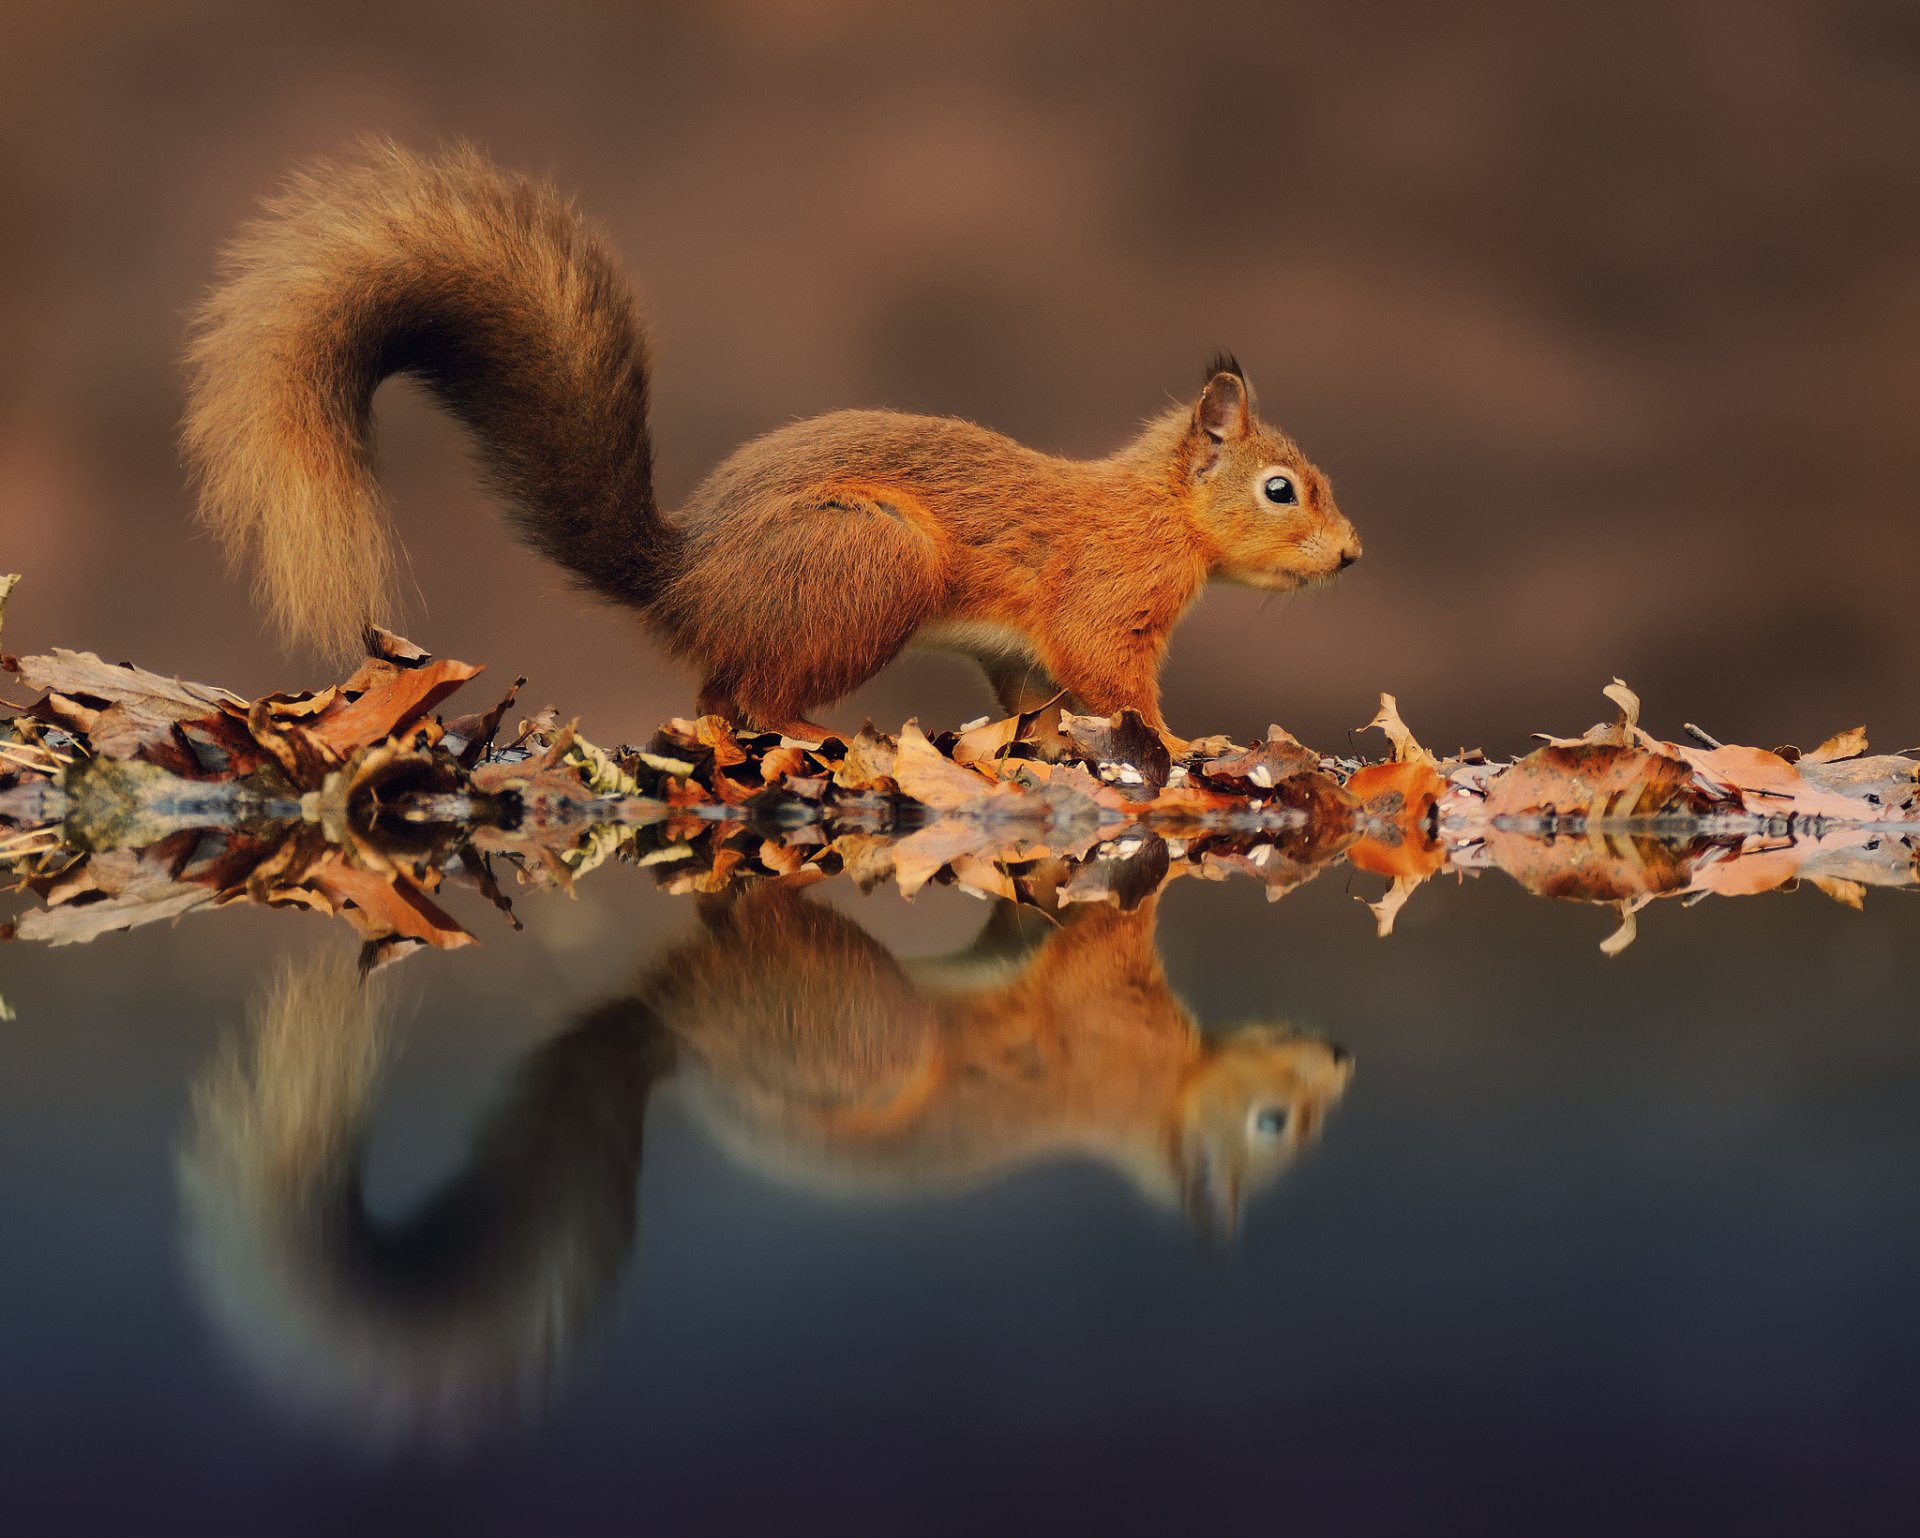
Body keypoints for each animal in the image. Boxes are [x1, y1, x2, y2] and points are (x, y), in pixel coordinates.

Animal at [184, 142, 1362, 740]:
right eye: (1281, 489)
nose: (1352, 556)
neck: (1160, 510)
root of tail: (688, 580)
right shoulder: (1106, 600)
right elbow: (1116, 682)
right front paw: (1184, 747)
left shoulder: (1021, 654)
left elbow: (1037, 699)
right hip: (869, 563)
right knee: (758, 700)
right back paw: (813, 741)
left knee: (719, 698)